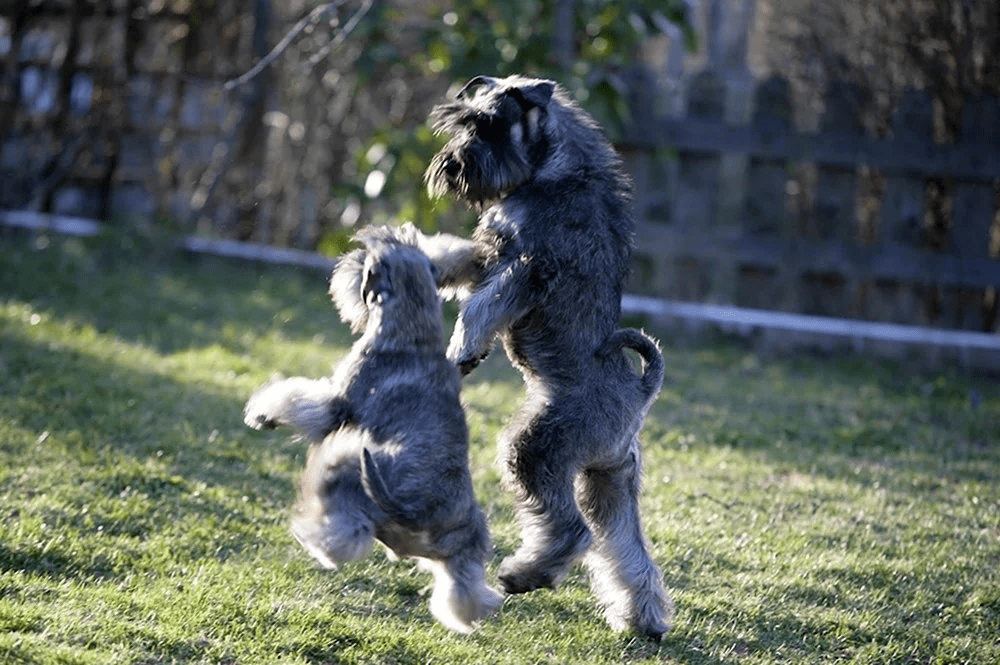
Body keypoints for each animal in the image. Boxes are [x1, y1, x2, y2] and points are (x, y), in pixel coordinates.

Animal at [241, 228, 504, 632]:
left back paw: (313, 537)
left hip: (350, 469)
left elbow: (296, 397)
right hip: (468, 543)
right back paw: (483, 608)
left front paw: (262, 414)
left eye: (368, 263)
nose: (349, 261)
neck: (412, 333)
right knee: (464, 589)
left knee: (345, 536)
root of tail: (420, 510)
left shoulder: (334, 405)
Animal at [410, 72, 676, 640]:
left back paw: (524, 574)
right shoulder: (491, 252)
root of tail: (640, 395)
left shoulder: (526, 268)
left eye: (489, 125)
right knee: (627, 551)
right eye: (462, 120)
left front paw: (462, 348)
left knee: (573, 531)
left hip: (536, 449)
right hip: (610, 481)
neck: (554, 172)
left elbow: (481, 304)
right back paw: (643, 621)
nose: (452, 166)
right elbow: (457, 261)